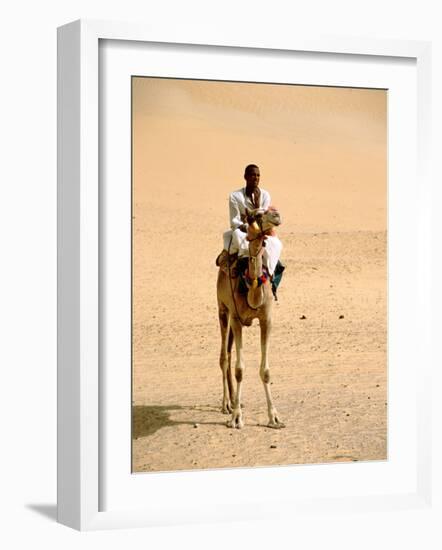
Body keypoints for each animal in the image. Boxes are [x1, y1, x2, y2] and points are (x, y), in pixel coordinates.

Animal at [216, 208, 284, 432]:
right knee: (224, 356)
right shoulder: (236, 319)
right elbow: (239, 369)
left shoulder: (266, 319)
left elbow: (266, 371)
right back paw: (227, 405)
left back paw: (234, 401)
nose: (276, 215)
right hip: (222, 309)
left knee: (228, 352)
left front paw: (274, 417)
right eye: (255, 215)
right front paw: (236, 418)